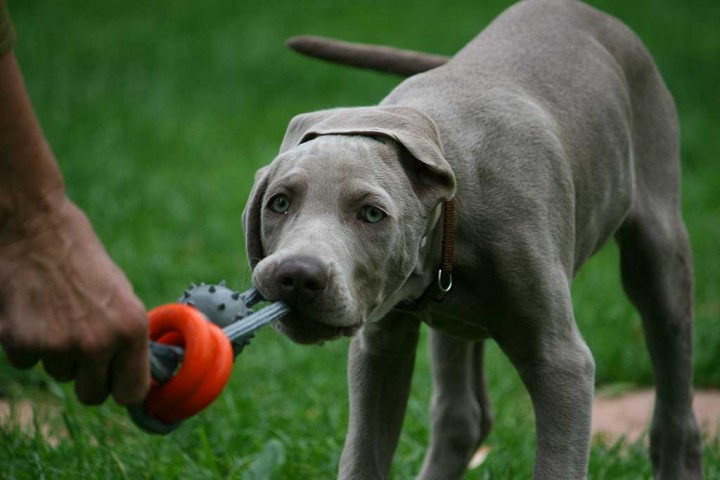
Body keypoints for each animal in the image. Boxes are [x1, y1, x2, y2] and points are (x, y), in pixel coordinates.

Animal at [243, 0, 704, 476]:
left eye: (372, 214)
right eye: (279, 203)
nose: (297, 276)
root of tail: (597, 15)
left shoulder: (562, 363)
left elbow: (558, 458)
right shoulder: (380, 347)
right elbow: (362, 455)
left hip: (657, 247)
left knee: (674, 398)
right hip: (455, 323)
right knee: (462, 414)